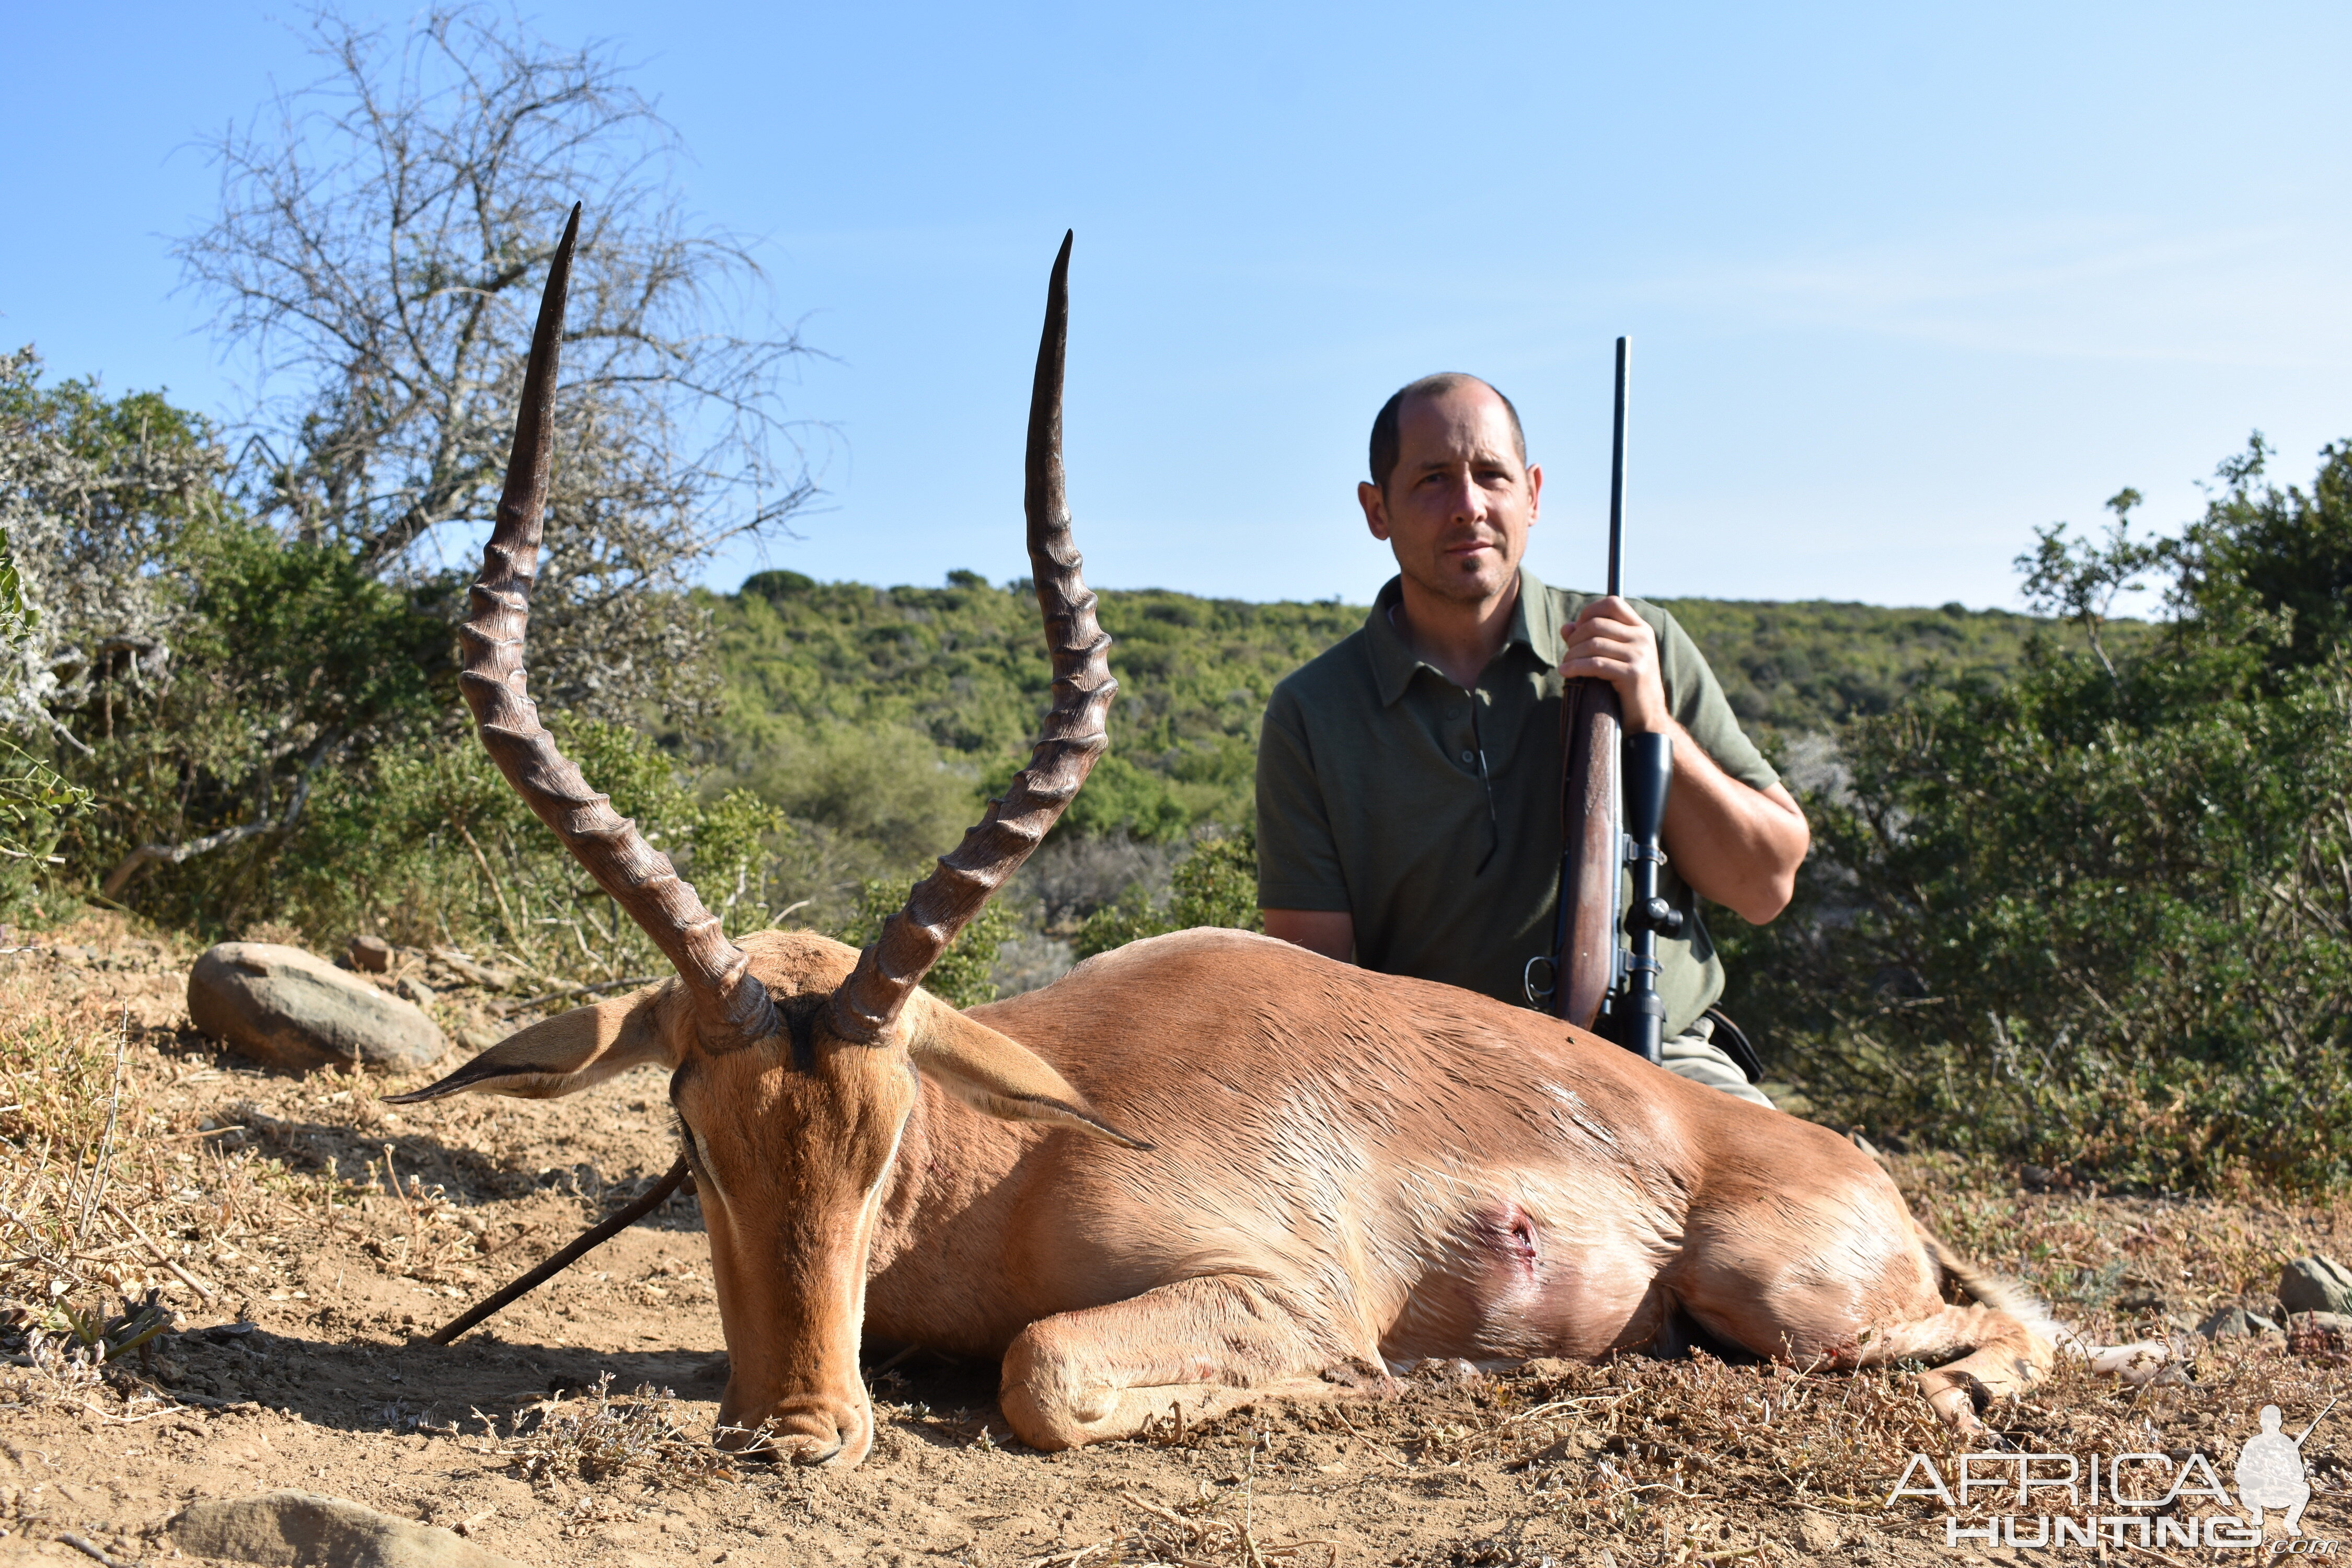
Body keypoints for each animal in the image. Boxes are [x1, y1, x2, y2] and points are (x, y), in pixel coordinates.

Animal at [395, 215, 2070, 1467]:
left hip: (1782, 1294)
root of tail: (1856, 1171)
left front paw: (1373, 1381)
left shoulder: (1267, 1291)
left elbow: (1042, 1372)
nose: (798, 1430)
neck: (1010, 1166)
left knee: (2010, 1328)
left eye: (887, 1133)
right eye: (690, 1129)